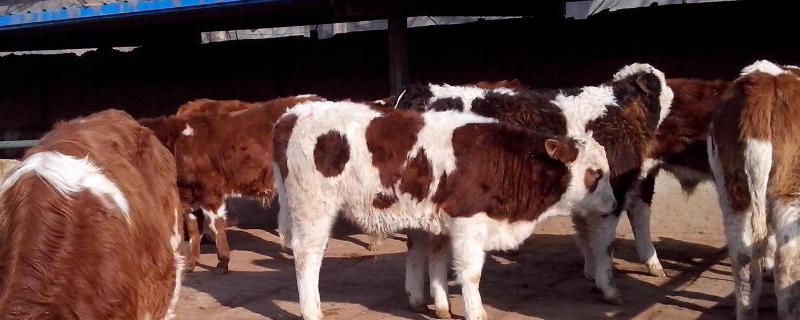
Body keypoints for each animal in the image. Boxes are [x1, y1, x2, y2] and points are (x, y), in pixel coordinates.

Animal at [272, 100, 616, 320]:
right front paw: (476, 313)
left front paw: (441, 307)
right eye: (595, 173)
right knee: (307, 255)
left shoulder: (440, 220)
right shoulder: (467, 222)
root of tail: (292, 115)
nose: (614, 205)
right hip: (313, 208)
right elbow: (471, 274)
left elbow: (437, 260)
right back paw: (312, 311)